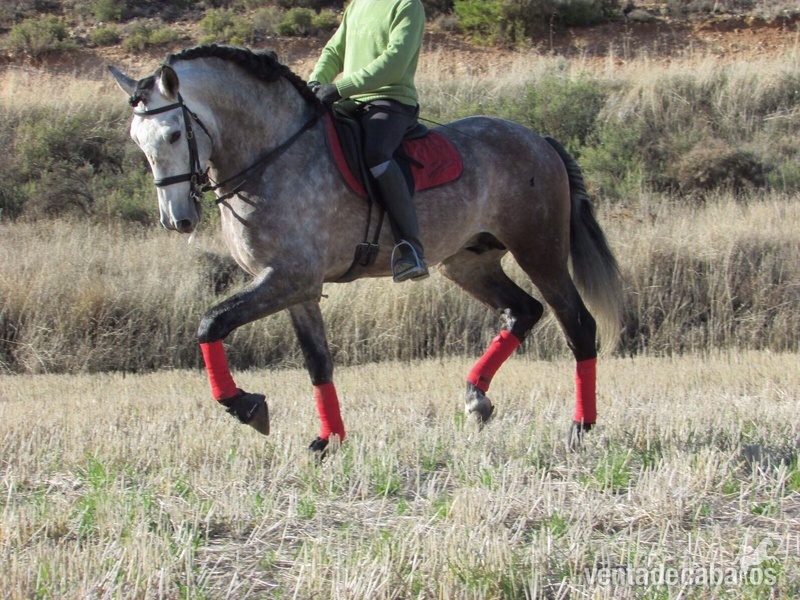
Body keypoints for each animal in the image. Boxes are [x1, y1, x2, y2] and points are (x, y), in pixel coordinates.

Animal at [108, 44, 623, 453]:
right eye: (137, 140)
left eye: (175, 134)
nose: (177, 218)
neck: (272, 156)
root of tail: (540, 140)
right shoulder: (296, 289)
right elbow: (317, 362)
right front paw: (328, 440)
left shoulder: (288, 278)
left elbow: (210, 323)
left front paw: (247, 406)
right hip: (468, 263)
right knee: (523, 312)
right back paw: (476, 398)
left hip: (540, 252)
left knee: (577, 325)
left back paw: (579, 428)